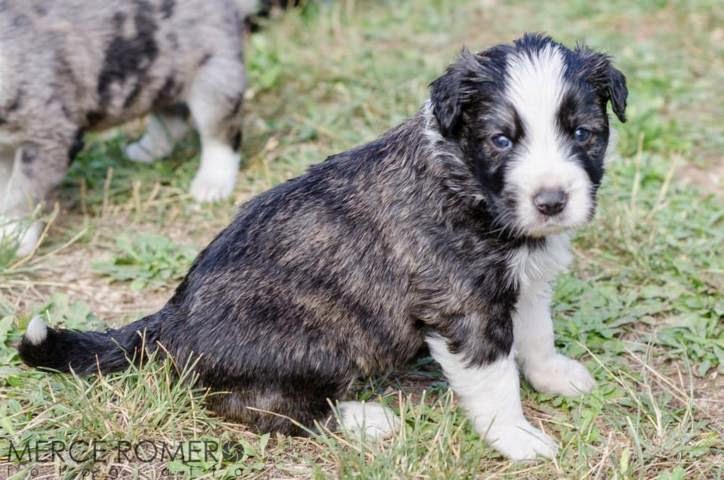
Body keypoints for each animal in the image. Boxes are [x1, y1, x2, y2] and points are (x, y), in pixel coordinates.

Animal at [0, 0, 260, 256]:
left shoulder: (48, 137)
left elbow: (21, 193)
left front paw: (14, 237)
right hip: (163, 76)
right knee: (172, 116)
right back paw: (147, 150)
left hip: (215, 79)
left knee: (220, 137)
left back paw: (211, 184)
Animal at [18, 34, 628, 462]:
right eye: (501, 140)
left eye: (583, 133)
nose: (551, 202)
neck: (469, 184)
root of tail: (170, 319)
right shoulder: (465, 308)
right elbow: (495, 381)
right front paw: (517, 438)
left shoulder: (524, 282)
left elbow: (536, 334)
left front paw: (554, 376)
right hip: (316, 344)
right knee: (260, 408)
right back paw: (366, 420)